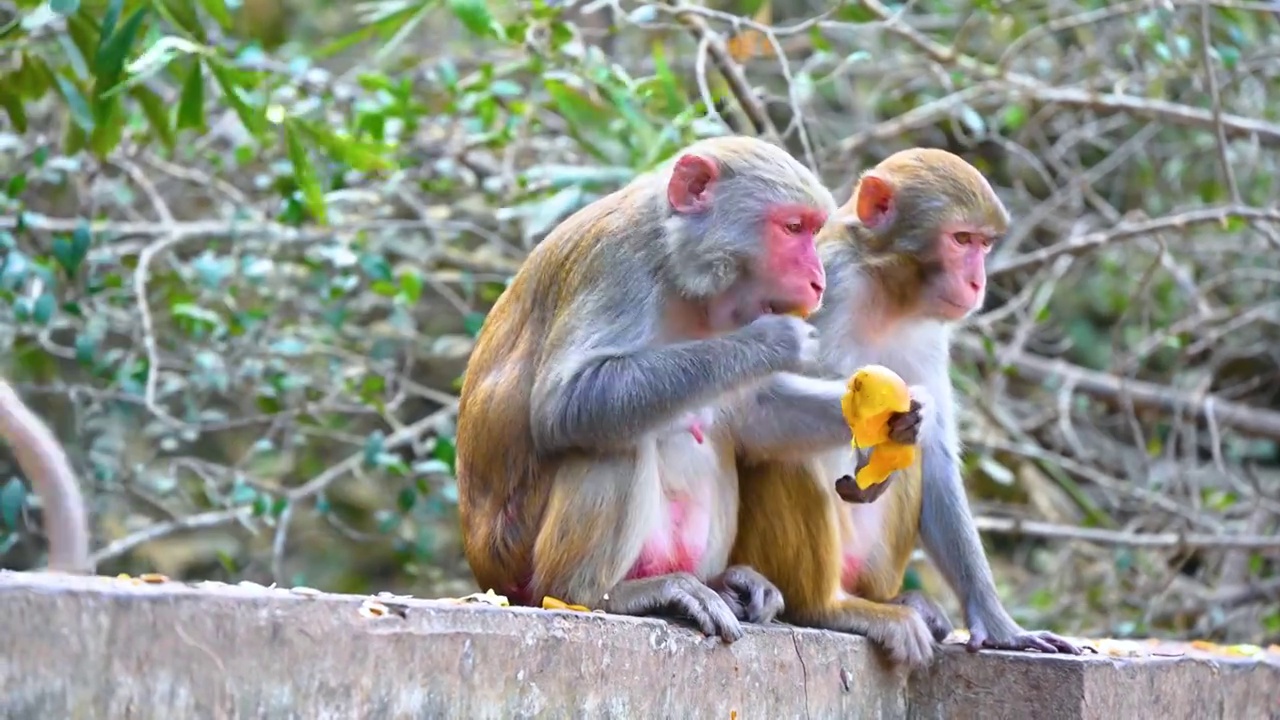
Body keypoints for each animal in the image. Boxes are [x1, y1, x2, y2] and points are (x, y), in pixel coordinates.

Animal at [732, 147, 1080, 666]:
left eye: (983, 244)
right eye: (960, 240)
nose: (977, 281)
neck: (886, 291)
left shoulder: (930, 331)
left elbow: (933, 451)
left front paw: (999, 626)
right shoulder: (828, 283)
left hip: (871, 567)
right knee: (789, 452)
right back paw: (825, 608)